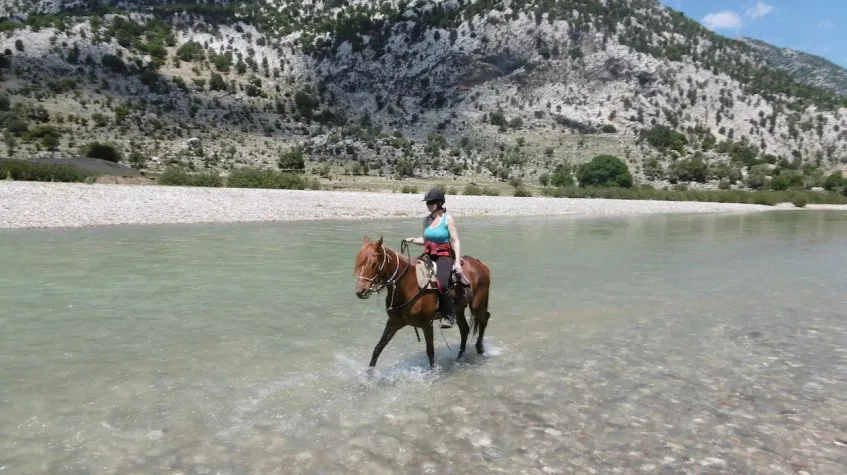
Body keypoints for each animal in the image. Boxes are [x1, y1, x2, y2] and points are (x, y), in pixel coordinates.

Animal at [354, 235, 492, 370]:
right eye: (358, 262)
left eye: (374, 263)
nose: (360, 291)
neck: (409, 285)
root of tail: (481, 264)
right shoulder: (394, 323)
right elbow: (378, 348)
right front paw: (369, 374)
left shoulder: (427, 324)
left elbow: (430, 352)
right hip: (458, 309)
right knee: (465, 329)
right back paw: (460, 357)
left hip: (476, 304)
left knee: (484, 318)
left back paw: (480, 348)